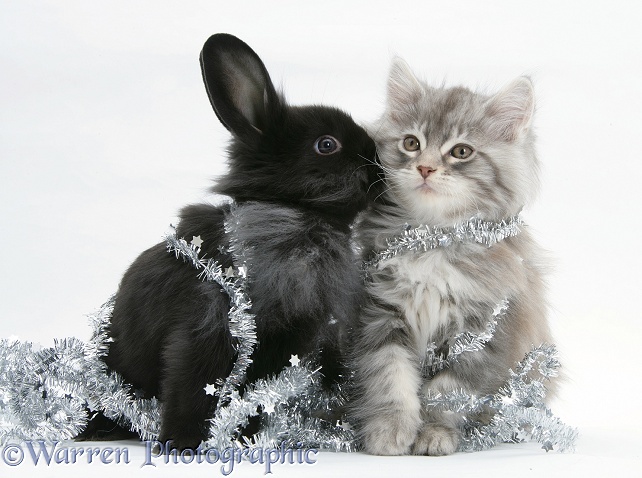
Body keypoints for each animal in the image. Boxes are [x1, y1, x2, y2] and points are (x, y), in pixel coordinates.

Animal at [85, 34, 380, 452]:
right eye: (327, 145)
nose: (379, 165)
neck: (294, 216)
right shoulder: (204, 329)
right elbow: (192, 391)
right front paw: (183, 444)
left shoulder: (285, 344)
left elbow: (253, 398)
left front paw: (245, 437)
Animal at [350, 59, 556, 456]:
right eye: (411, 144)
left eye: (461, 152)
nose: (425, 168)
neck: (434, 238)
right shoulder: (382, 311)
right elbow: (390, 375)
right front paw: (389, 430)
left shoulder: (485, 328)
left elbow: (447, 393)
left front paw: (434, 434)